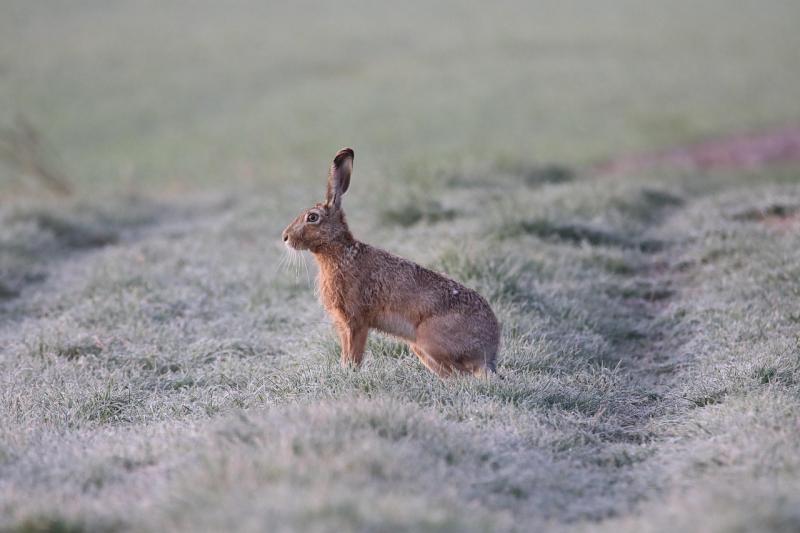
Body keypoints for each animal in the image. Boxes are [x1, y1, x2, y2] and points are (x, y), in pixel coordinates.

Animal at [282, 148, 500, 377]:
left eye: (312, 218)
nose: (285, 237)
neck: (339, 252)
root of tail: (489, 351)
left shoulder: (355, 320)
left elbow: (353, 354)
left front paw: (349, 373)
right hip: (421, 349)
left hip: (429, 341)